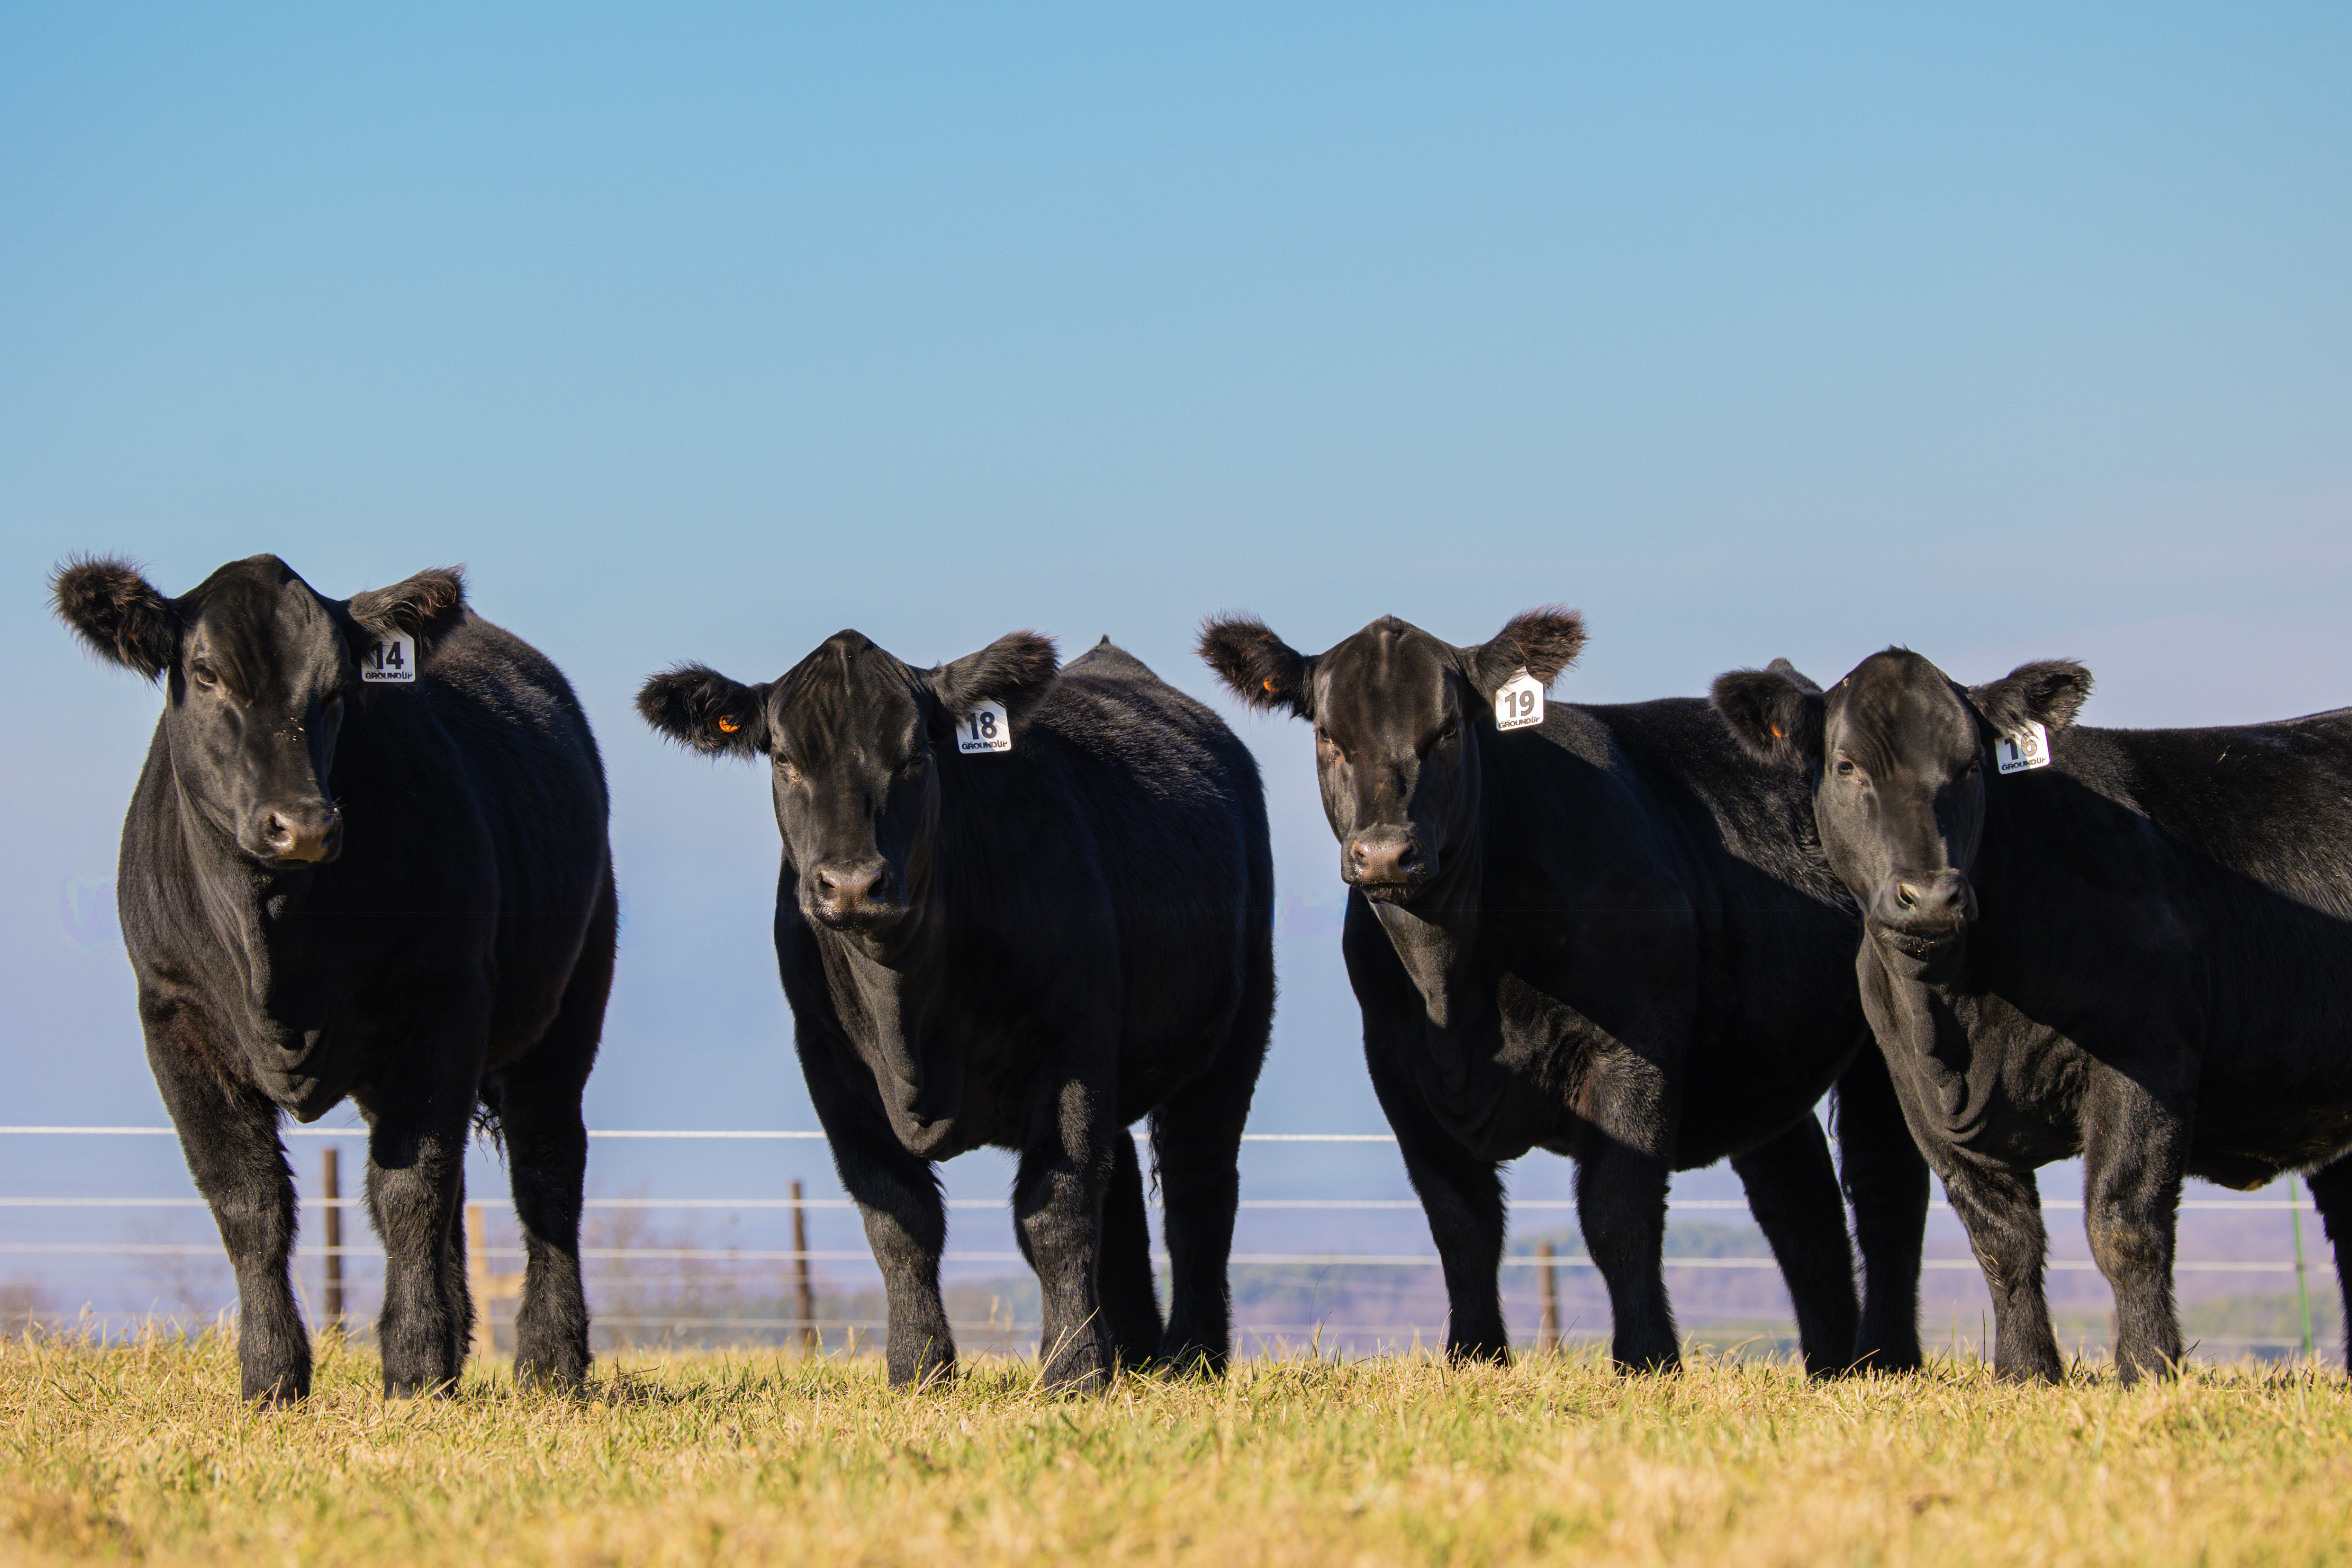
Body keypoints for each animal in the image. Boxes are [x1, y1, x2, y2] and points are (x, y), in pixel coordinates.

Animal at [53, 554, 615, 1403]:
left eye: (338, 689)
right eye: (206, 673)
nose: (304, 825)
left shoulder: (443, 996)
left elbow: (409, 1186)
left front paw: (413, 1367)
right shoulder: (173, 1017)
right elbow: (249, 1198)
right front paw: (272, 1375)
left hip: (571, 998)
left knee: (547, 1164)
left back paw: (551, 1361)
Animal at [636, 631, 1273, 1391]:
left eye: (916, 756)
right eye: (785, 759)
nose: (853, 884)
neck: (909, 1020)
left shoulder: (1072, 1045)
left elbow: (1056, 1209)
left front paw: (1072, 1370)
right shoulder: (828, 1062)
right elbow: (898, 1217)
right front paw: (919, 1365)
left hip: (1238, 1027)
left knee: (1197, 1185)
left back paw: (1191, 1356)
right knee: (1121, 1196)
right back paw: (1135, 1351)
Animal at [1199, 610, 1929, 1375]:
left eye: (1449, 730)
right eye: (1329, 736)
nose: (1385, 854)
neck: (1452, 988)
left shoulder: (1632, 1055)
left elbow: (1618, 1217)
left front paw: (1646, 1359)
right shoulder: (1399, 1075)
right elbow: (1461, 1224)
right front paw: (1475, 1355)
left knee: (1886, 1191)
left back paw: (1888, 1359)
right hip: (1763, 1061)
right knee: (1800, 1204)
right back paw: (1832, 1365)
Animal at [1715, 648, 2352, 1382]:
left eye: (1971, 765)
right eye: (1847, 766)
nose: (1930, 896)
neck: (1960, 1019)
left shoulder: (2145, 1060)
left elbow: (2123, 1226)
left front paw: (2147, 1368)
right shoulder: (1919, 1099)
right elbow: (2001, 1240)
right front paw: (2025, 1372)